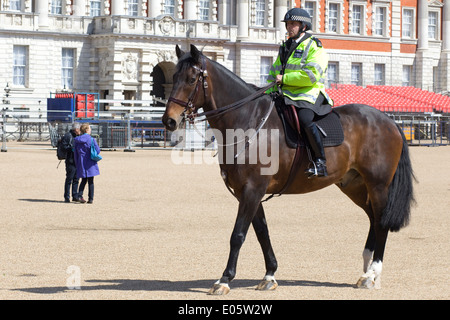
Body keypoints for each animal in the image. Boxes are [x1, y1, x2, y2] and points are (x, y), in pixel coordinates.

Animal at [162, 44, 414, 296]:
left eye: (192, 79)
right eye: (174, 77)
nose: (169, 121)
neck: (247, 121)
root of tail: (389, 120)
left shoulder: (252, 190)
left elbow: (238, 234)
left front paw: (225, 279)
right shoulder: (249, 193)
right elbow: (262, 233)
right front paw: (269, 274)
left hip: (378, 185)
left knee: (381, 222)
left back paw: (373, 273)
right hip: (355, 186)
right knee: (372, 218)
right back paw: (366, 268)